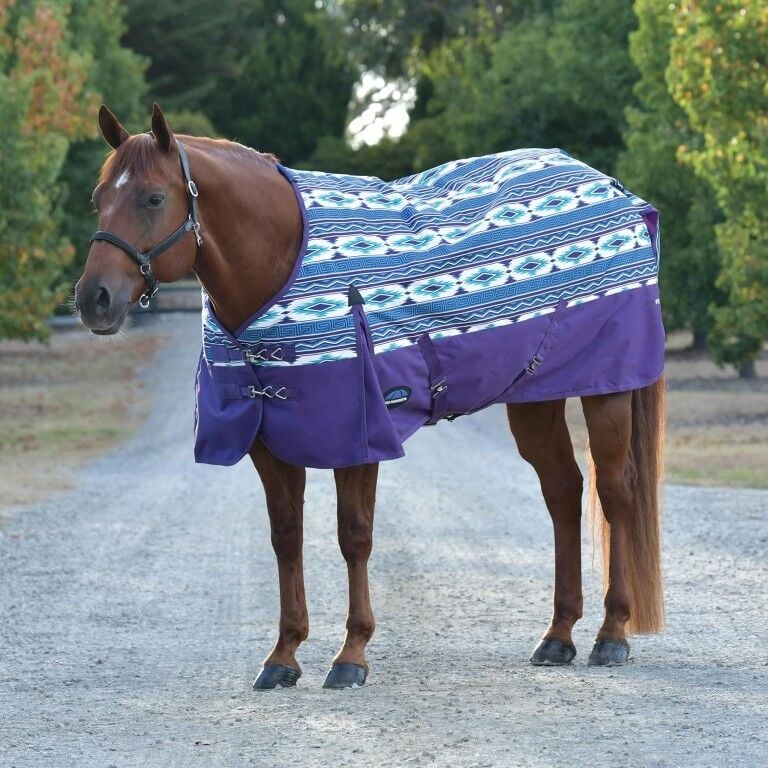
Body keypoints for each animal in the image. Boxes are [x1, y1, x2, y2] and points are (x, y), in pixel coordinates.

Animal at [75, 104, 665, 689]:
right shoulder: (269, 439)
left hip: (607, 393)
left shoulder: (358, 437)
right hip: (534, 401)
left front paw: (351, 655)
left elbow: (354, 536)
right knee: (563, 492)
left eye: (153, 198)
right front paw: (283, 656)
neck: (282, 260)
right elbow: (287, 536)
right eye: (98, 198)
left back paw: (611, 635)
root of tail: (618, 192)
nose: (93, 299)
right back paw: (558, 636)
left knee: (615, 494)